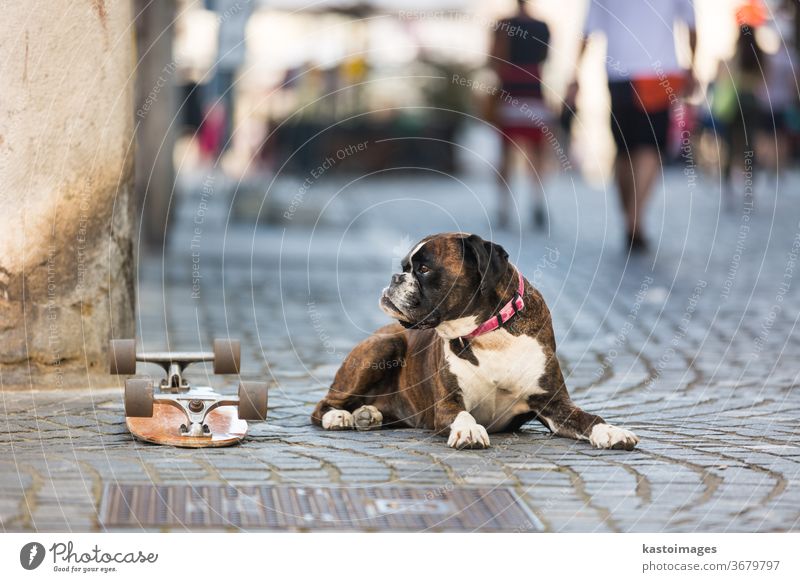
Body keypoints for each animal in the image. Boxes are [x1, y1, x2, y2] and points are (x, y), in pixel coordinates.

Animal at [310, 233, 636, 452]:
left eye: (424, 269)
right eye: (405, 267)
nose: (395, 277)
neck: (490, 334)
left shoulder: (554, 404)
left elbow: (588, 418)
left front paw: (612, 431)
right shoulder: (447, 404)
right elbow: (463, 414)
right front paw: (469, 431)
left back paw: (368, 414)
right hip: (384, 345)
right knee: (322, 406)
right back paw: (340, 416)